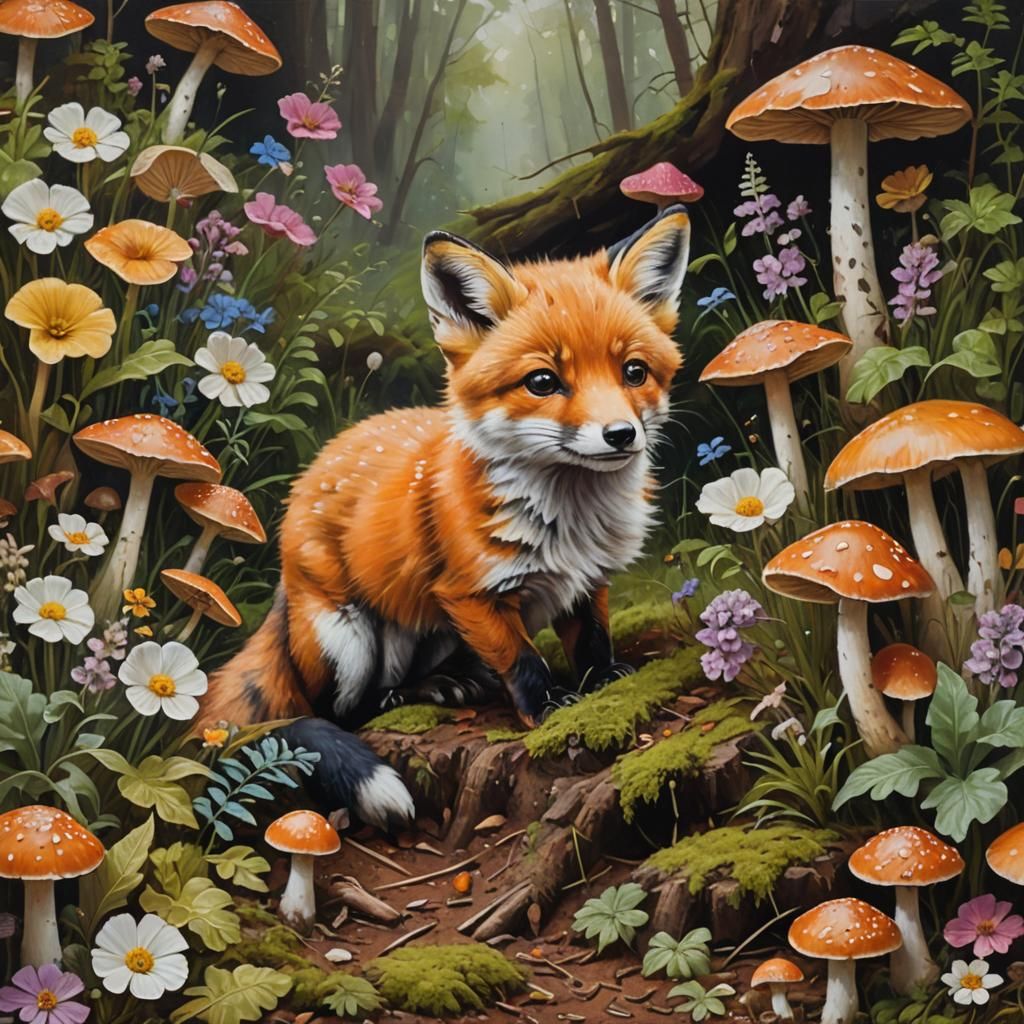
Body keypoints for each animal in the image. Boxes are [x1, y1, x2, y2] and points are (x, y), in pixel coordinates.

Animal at [198, 205, 691, 830]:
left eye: (633, 372)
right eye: (542, 381)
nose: (621, 435)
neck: (570, 523)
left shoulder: (588, 581)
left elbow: (592, 639)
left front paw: (601, 681)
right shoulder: (471, 594)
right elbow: (523, 659)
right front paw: (546, 706)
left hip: (429, 636)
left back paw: (449, 685)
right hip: (347, 640)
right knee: (336, 711)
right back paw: (392, 701)